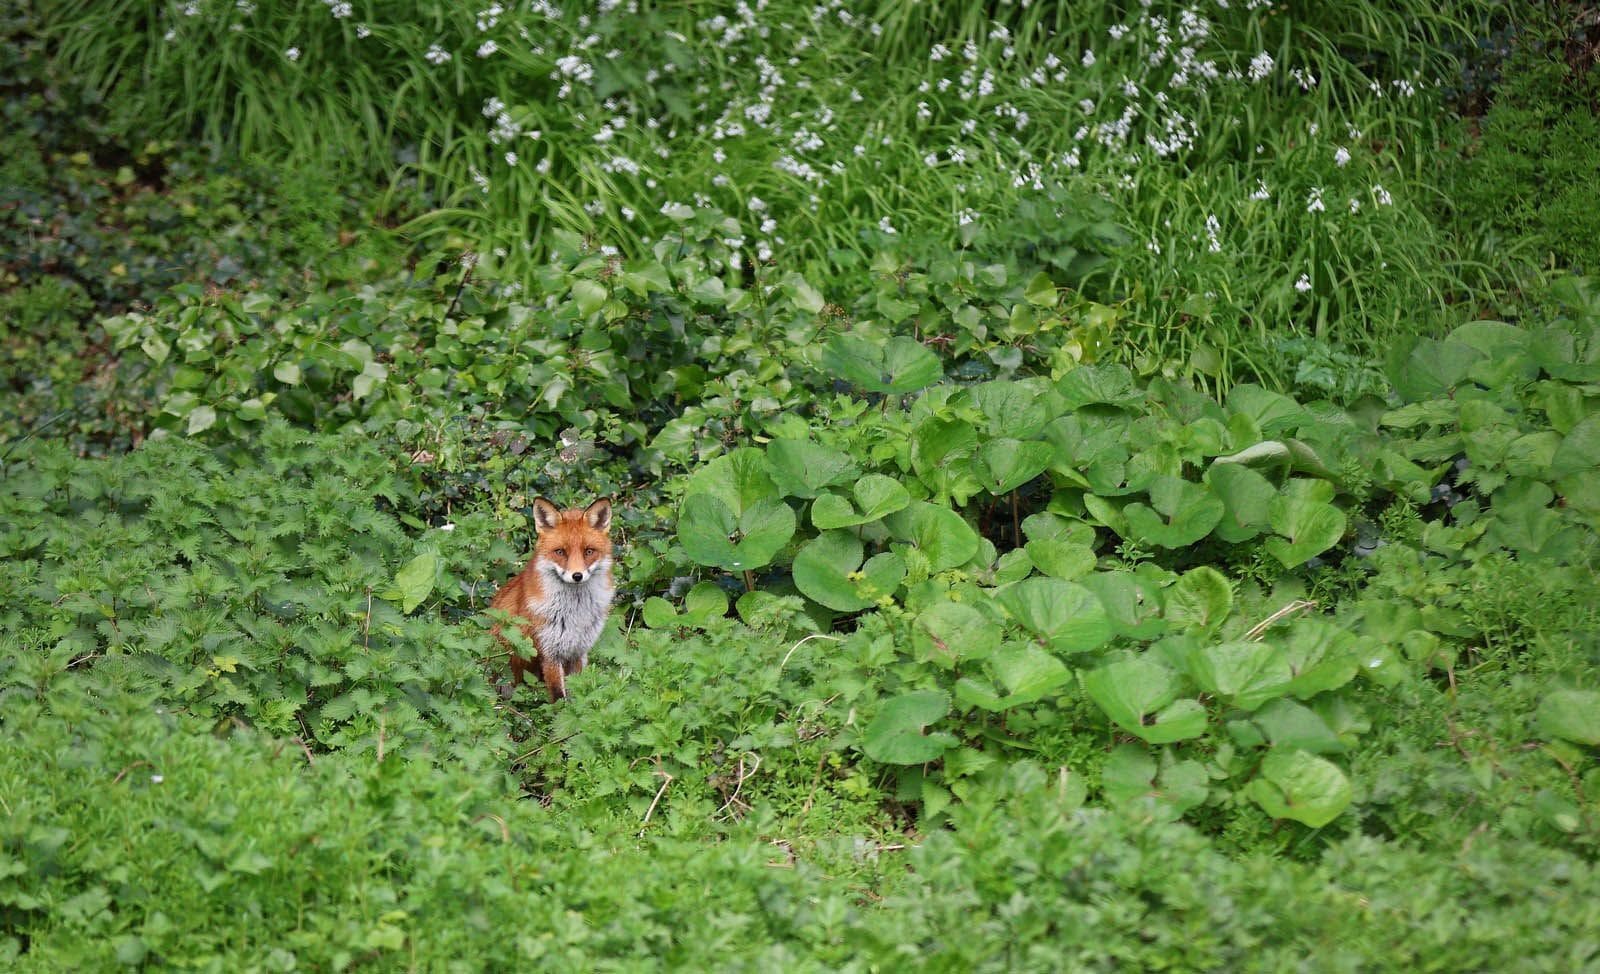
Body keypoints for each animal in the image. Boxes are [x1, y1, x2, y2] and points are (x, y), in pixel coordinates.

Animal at [486, 492, 611, 697]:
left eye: (589, 551)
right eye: (560, 552)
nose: (577, 576)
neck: (576, 614)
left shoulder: (578, 652)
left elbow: (577, 692)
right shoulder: (549, 651)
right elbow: (559, 695)